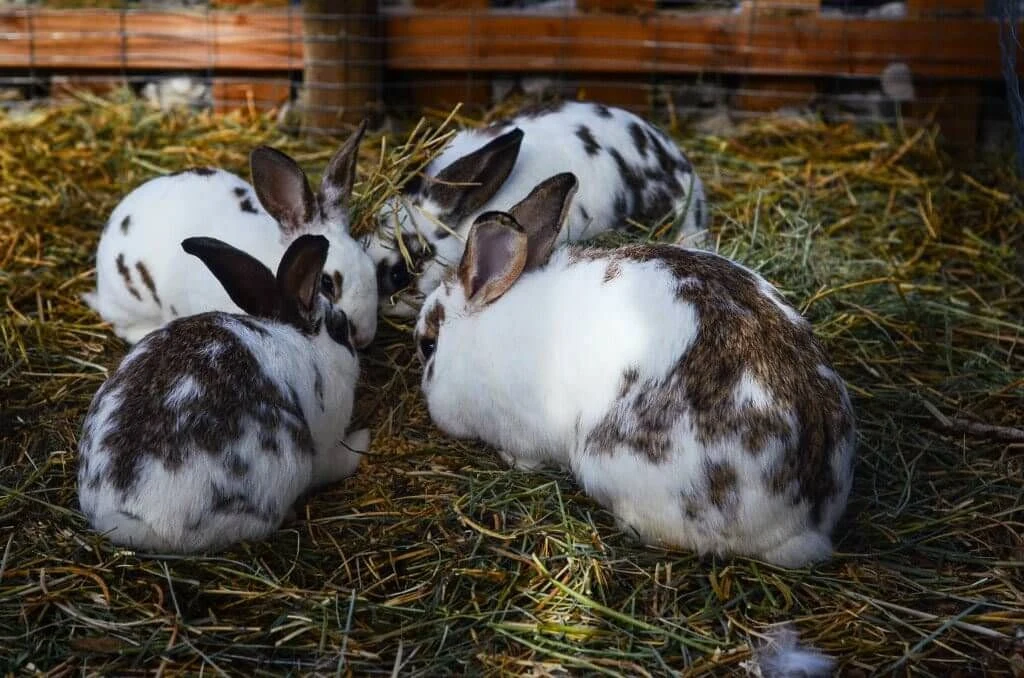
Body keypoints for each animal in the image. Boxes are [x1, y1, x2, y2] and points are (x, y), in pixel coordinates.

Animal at [77, 233, 369, 554]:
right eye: (340, 328)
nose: (358, 344)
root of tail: (137, 517)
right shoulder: (327, 440)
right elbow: (339, 461)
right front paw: (365, 439)